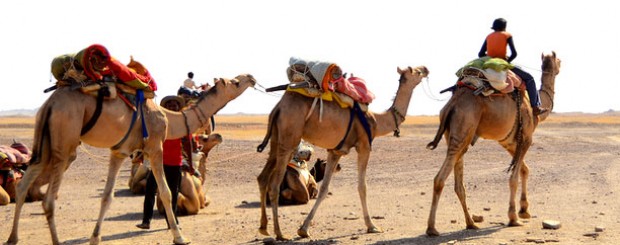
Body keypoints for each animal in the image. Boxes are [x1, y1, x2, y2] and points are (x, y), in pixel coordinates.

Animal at [256, 65, 426, 241]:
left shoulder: (335, 151)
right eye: (416, 71)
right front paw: (371, 226)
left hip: (276, 139)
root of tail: (279, 107)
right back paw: (280, 233)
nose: (426, 69)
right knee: (274, 186)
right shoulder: (364, 145)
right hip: (289, 139)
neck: (377, 121)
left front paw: (304, 229)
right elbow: (362, 187)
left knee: (262, 178)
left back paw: (264, 228)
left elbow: (324, 189)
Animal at [426, 51, 560, 235]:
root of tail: (453, 104)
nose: (559, 64)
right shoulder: (526, 137)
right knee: (440, 178)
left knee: (458, 184)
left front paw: (524, 210)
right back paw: (432, 228)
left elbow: (524, 170)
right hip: (464, 127)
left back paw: (471, 223)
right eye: (559, 60)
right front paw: (513, 218)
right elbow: (514, 177)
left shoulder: (508, 142)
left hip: (456, 135)